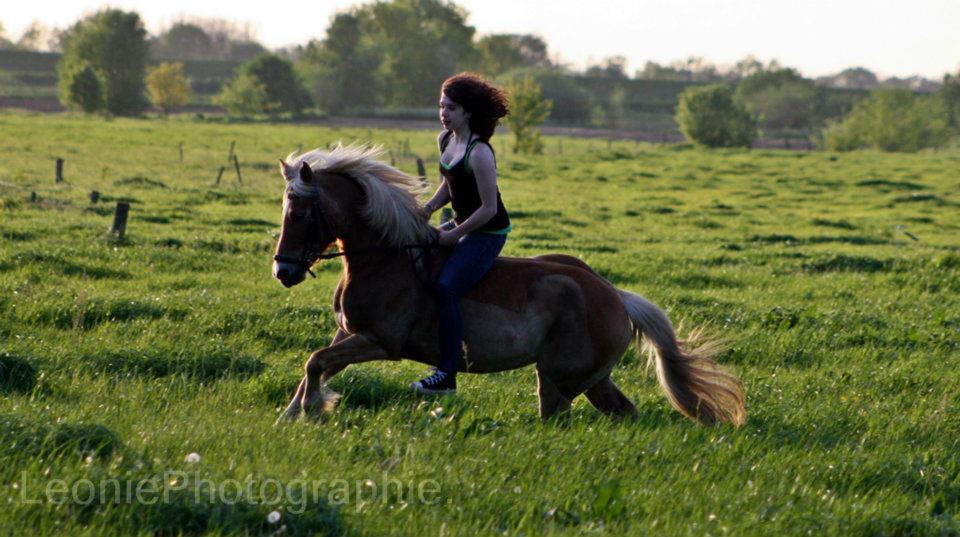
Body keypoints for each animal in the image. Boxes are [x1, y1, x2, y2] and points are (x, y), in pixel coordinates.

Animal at [274, 144, 748, 426]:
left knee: (564, 416)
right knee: (624, 412)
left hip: (558, 381)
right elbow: (316, 365)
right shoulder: (349, 333)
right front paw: (294, 412)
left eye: (297, 213)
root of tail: (616, 296)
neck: (385, 258)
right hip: (592, 379)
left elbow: (315, 362)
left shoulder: (379, 341)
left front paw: (309, 411)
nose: (283, 271)